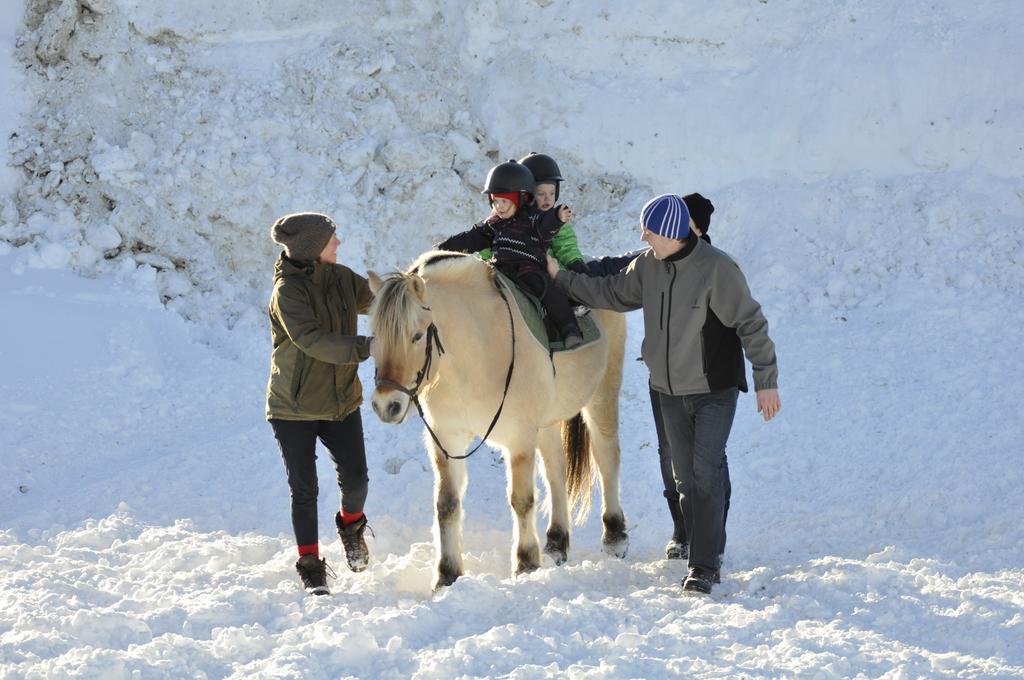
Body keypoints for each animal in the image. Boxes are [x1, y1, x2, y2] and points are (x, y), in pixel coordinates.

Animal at [364, 250, 626, 589]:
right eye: (374, 336)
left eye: (417, 335)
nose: (386, 405)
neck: (474, 351)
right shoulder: (447, 439)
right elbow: (446, 504)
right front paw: (447, 573)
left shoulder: (519, 438)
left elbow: (521, 500)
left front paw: (526, 563)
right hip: (546, 421)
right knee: (556, 470)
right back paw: (556, 541)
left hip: (601, 394)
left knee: (607, 457)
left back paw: (615, 536)